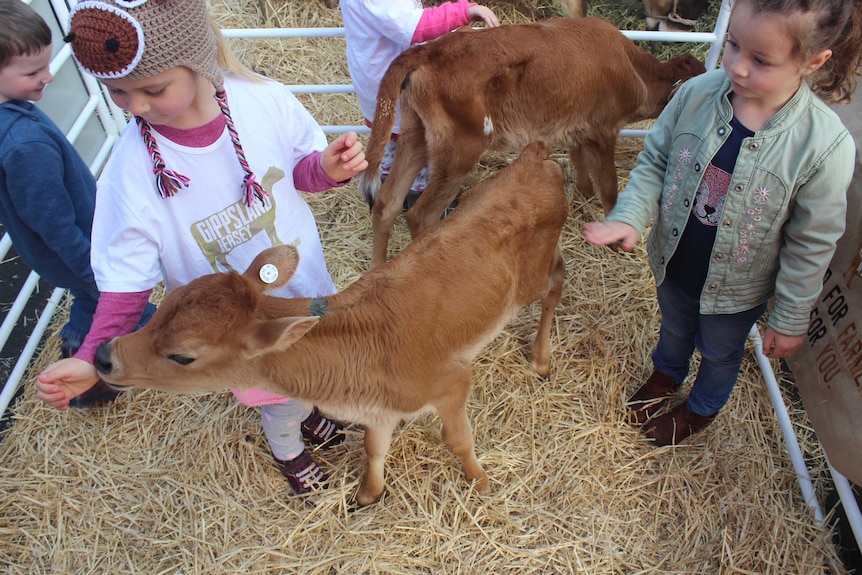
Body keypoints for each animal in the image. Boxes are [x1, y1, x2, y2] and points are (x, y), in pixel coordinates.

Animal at [94, 142, 572, 506]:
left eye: (182, 355)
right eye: (165, 303)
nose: (102, 355)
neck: (356, 363)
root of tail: (536, 159)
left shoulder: (452, 382)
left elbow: (458, 440)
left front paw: (482, 482)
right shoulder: (378, 411)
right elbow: (375, 449)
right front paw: (367, 495)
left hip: (532, 275)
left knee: (557, 280)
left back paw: (542, 358)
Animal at [362, 16, 704, 268]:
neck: (633, 67)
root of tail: (427, 50)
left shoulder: (575, 126)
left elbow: (580, 163)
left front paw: (584, 194)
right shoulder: (602, 129)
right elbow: (609, 187)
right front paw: (617, 238)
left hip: (416, 135)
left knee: (387, 202)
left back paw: (378, 268)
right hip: (460, 148)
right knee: (421, 215)